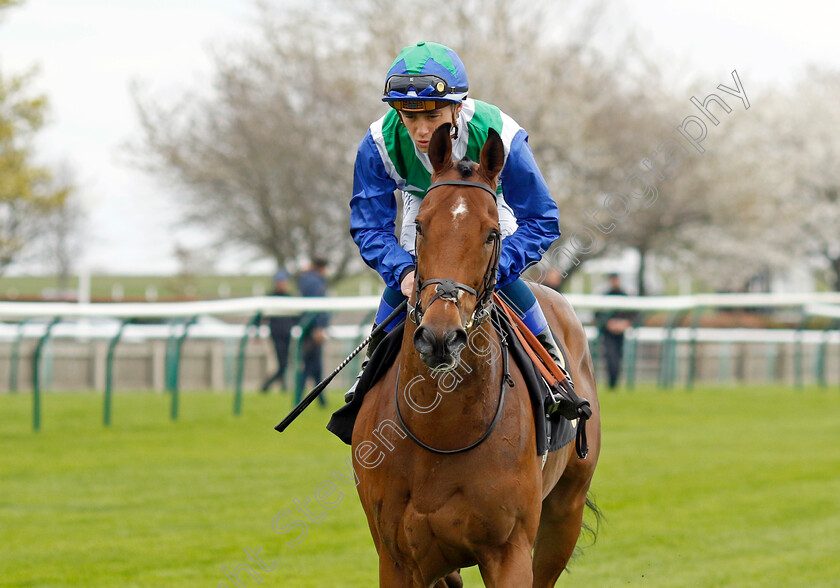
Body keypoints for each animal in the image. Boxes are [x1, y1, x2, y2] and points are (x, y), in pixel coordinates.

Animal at [352, 124, 600, 588]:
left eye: (490, 234)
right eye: (421, 227)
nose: (440, 337)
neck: (441, 432)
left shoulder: (509, 550)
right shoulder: (397, 558)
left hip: (566, 511)